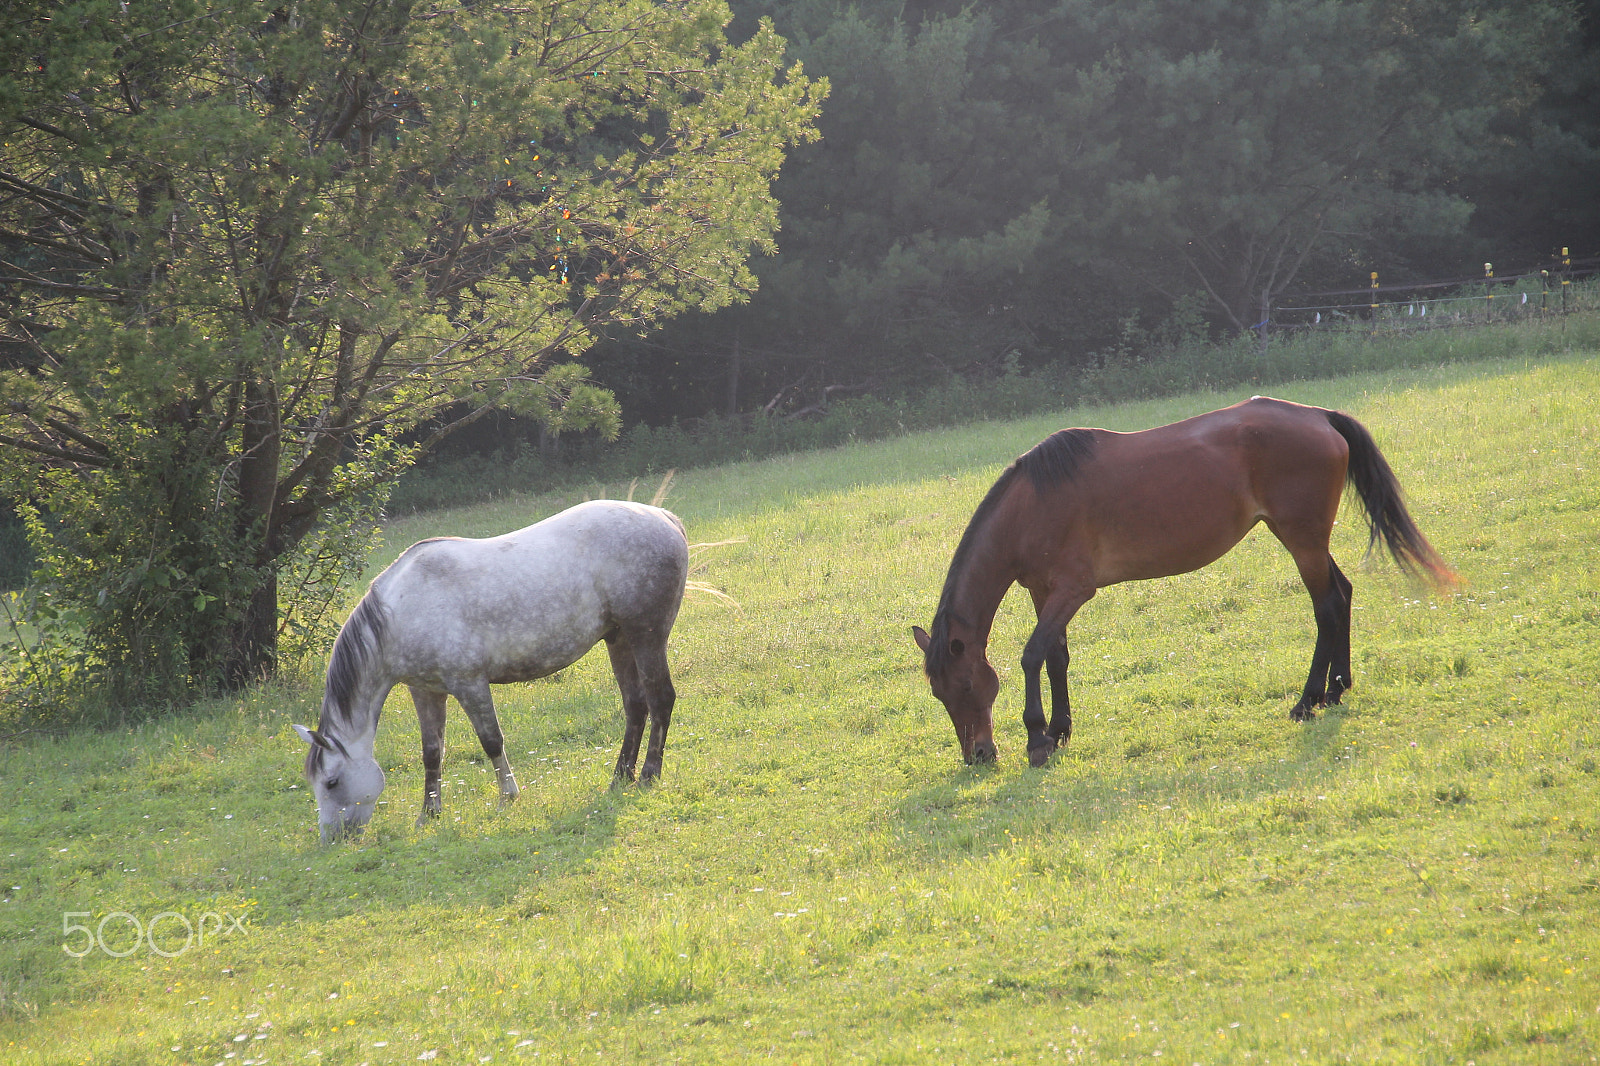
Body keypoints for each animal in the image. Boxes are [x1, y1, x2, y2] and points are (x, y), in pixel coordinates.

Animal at [294, 499, 688, 842]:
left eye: (331, 782)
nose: (331, 840)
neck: (401, 612)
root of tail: (665, 518)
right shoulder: (426, 690)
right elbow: (432, 752)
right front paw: (429, 814)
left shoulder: (469, 684)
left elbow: (491, 740)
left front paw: (508, 797)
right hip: (618, 639)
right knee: (635, 706)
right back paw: (620, 777)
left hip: (646, 635)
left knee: (660, 699)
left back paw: (648, 776)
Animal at [913, 396, 1456, 767]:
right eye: (938, 694)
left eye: (966, 685)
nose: (978, 754)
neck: (1033, 503)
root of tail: (1319, 416)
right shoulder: (1045, 593)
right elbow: (1056, 657)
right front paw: (1061, 729)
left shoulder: (1072, 591)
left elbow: (1031, 656)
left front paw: (1037, 739)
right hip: (1305, 540)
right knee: (1341, 596)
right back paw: (1337, 689)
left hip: (1301, 540)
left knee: (1325, 606)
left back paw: (1307, 701)